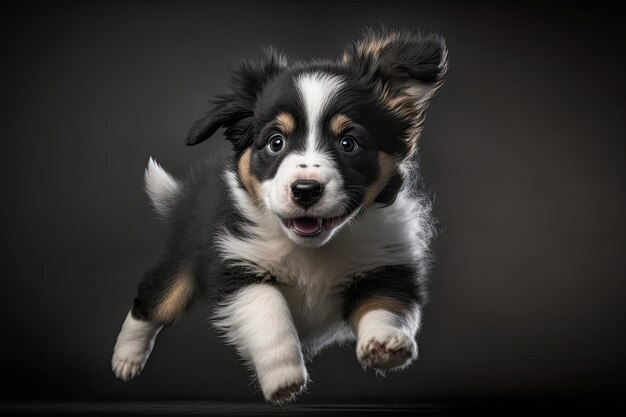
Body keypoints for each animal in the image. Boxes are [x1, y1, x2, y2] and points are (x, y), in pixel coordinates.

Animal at [111, 29, 444, 404]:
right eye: (275, 142)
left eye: (348, 143)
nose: (305, 190)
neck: (311, 248)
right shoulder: (237, 263)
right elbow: (269, 311)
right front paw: (283, 375)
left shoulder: (387, 261)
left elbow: (385, 303)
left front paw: (385, 342)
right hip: (184, 260)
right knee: (155, 300)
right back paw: (126, 357)